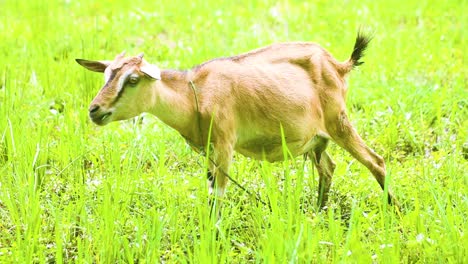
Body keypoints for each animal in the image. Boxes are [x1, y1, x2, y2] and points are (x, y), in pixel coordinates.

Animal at [77, 31, 398, 208]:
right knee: (328, 168)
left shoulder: (224, 144)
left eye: (132, 79)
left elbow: (218, 194)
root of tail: (338, 65)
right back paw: (318, 212)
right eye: (107, 75)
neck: (195, 93)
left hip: (338, 122)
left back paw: (394, 212)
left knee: (376, 161)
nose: (95, 109)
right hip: (317, 140)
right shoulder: (208, 151)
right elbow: (209, 191)